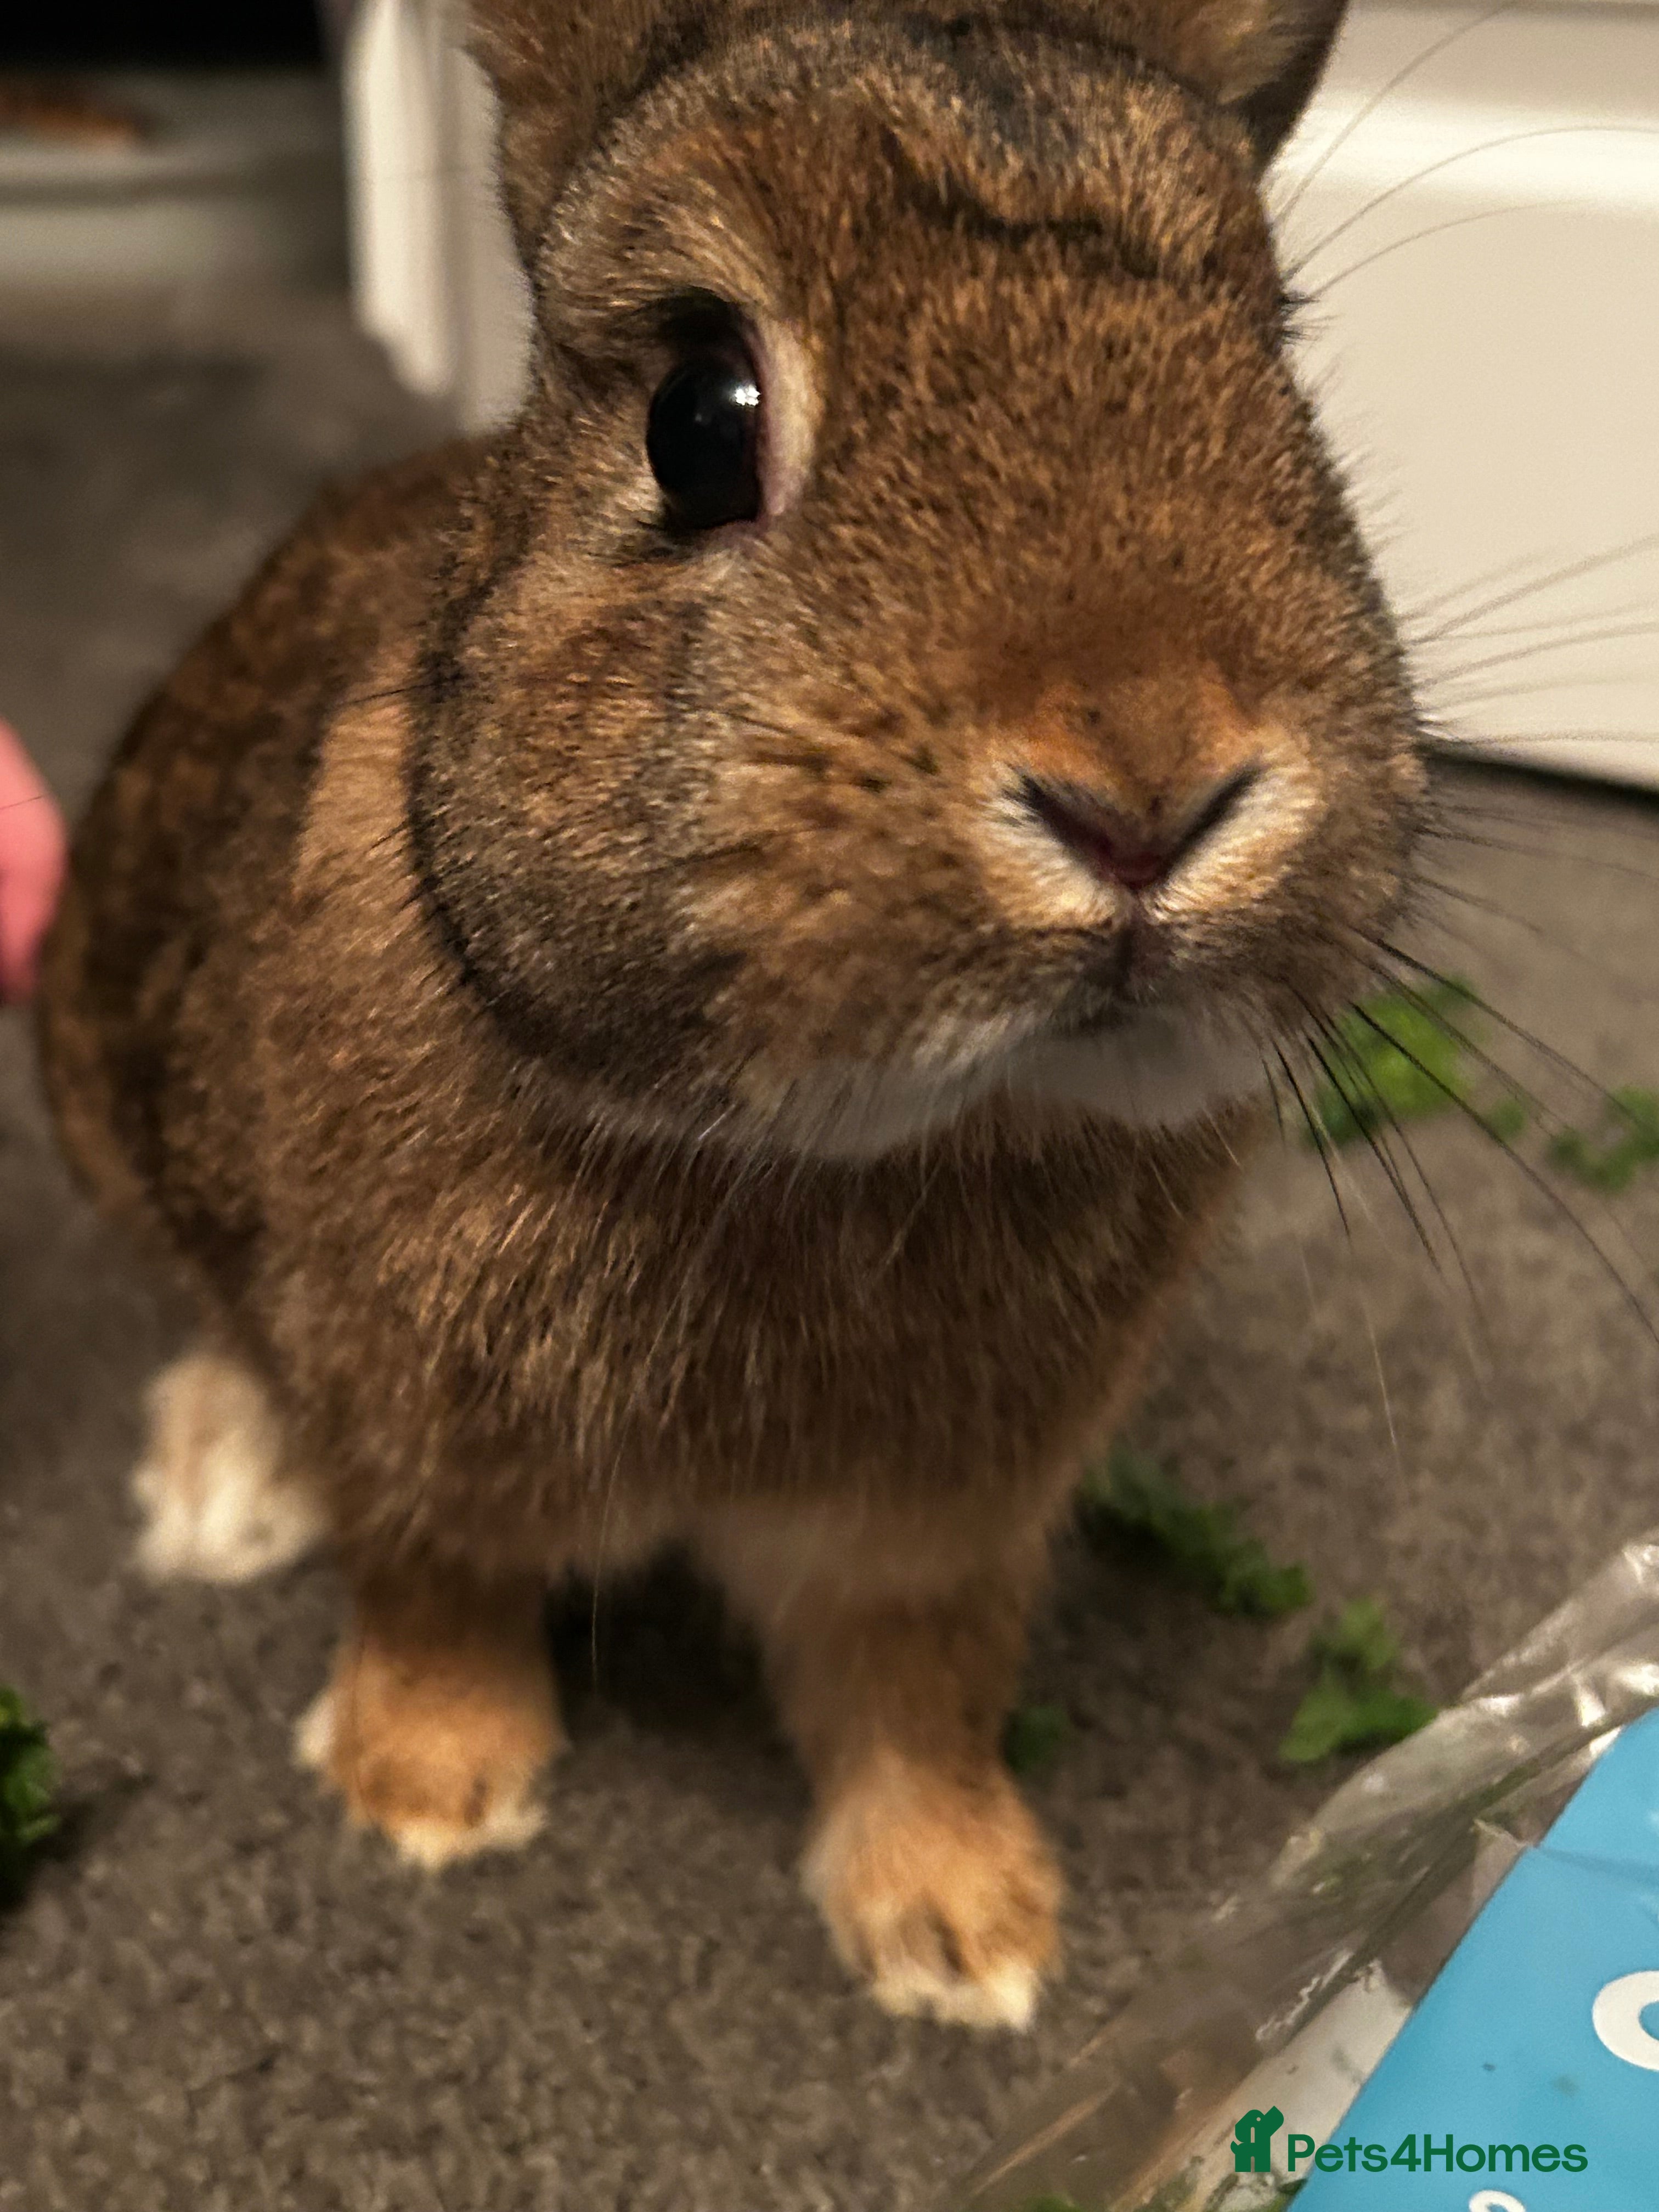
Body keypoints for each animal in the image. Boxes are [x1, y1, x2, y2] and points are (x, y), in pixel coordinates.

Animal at [35, 0, 1426, 2028]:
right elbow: (429, 1581)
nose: (1147, 784)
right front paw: (424, 1795)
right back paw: (223, 1491)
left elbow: (918, 1698)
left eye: (1277, 368)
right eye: (699, 418)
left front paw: (969, 1941)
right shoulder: (412, 1421)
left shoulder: (940, 1530)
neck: (821, 1157)